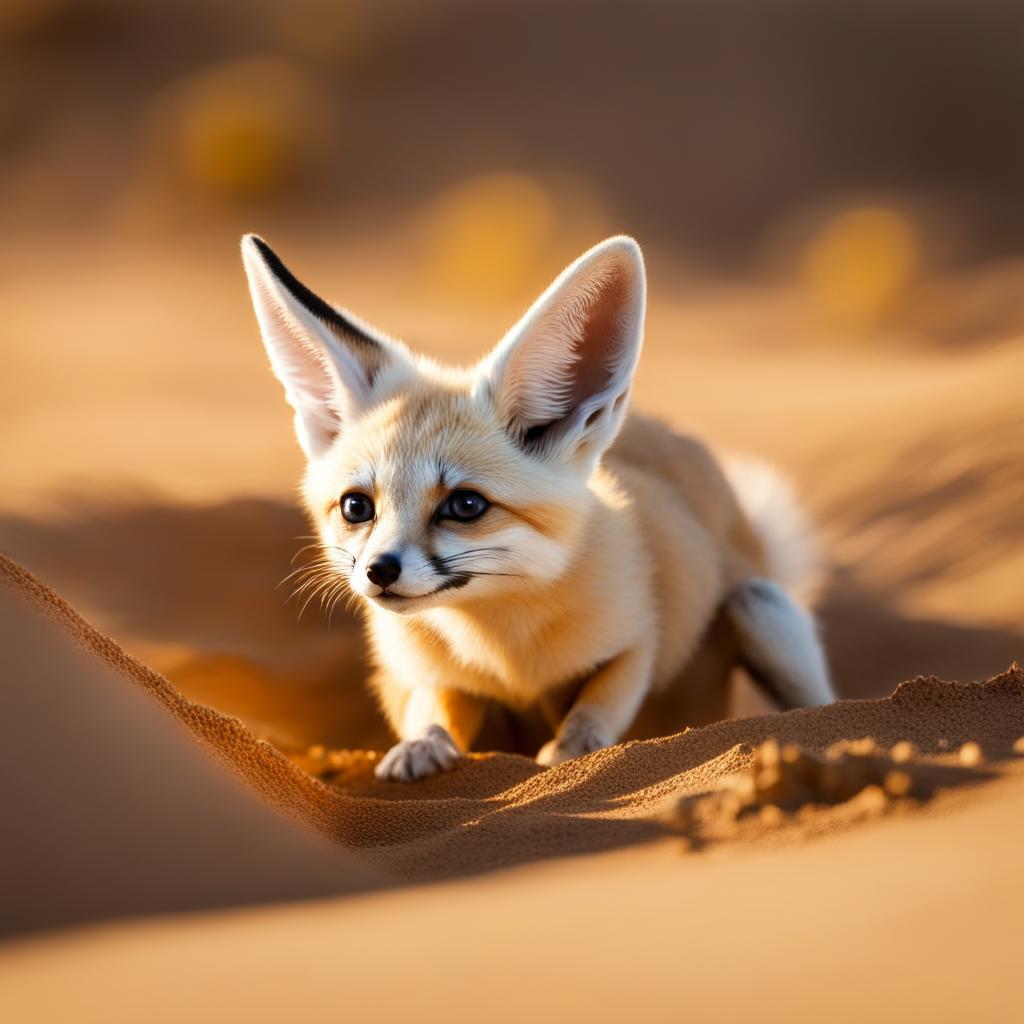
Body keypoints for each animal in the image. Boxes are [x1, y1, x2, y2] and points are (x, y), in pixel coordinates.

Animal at [243, 235, 835, 778]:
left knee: (818, 696)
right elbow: (433, 710)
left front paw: (573, 751)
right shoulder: (428, 674)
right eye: (356, 507)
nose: (378, 570)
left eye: (464, 505)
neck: (504, 647)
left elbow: (600, 703)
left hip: (759, 607)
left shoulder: (640, 632)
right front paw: (421, 747)